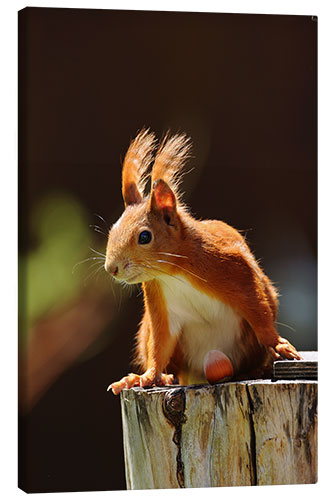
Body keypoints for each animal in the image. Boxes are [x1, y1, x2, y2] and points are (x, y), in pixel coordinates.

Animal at [104, 129, 300, 394]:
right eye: (112, 230)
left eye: (144, 237)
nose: (111, 268)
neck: (173, 272)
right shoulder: (161, 304)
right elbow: (160, 344)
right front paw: (148, 376)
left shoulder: (235, 271)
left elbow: (258, 313)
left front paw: (279, 345)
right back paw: (161, 378)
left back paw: (257, 370)